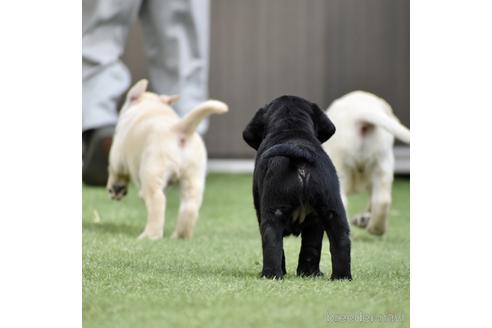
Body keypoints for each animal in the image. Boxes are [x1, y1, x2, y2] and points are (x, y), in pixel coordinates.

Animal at [106, 78, 229, 240]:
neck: (152, 106)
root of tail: (179, 129)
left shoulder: (117, 155)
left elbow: (116, 173)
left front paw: (115, 188)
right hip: (193, 178)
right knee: (189, 206)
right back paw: (180, 235)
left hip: (153, 171)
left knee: (157, 201)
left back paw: (149, 235)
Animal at [241, 95, 350, 280]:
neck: (291, 128)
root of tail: (300, 155)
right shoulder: (316, 222)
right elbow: (312, 246)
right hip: (332, 210)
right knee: (338, 241)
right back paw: (336, 277)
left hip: (272, 212)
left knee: (272, 243)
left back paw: (271, 275)